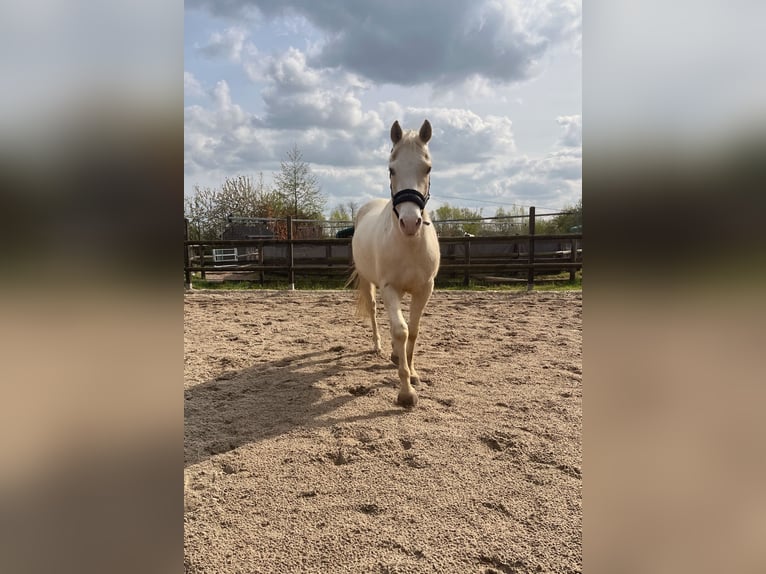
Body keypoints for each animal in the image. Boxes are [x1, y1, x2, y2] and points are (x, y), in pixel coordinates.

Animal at [349, 119, 441, 407]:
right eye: (391, 169)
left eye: (428, 167)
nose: (410, 223)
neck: (409, 243)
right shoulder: (390, 288)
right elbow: (400, 331)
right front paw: (405, 392)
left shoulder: (424, 289)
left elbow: (413, 331)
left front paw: (412, 373)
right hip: (370, 283)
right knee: (375, 311)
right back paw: (379, 346)